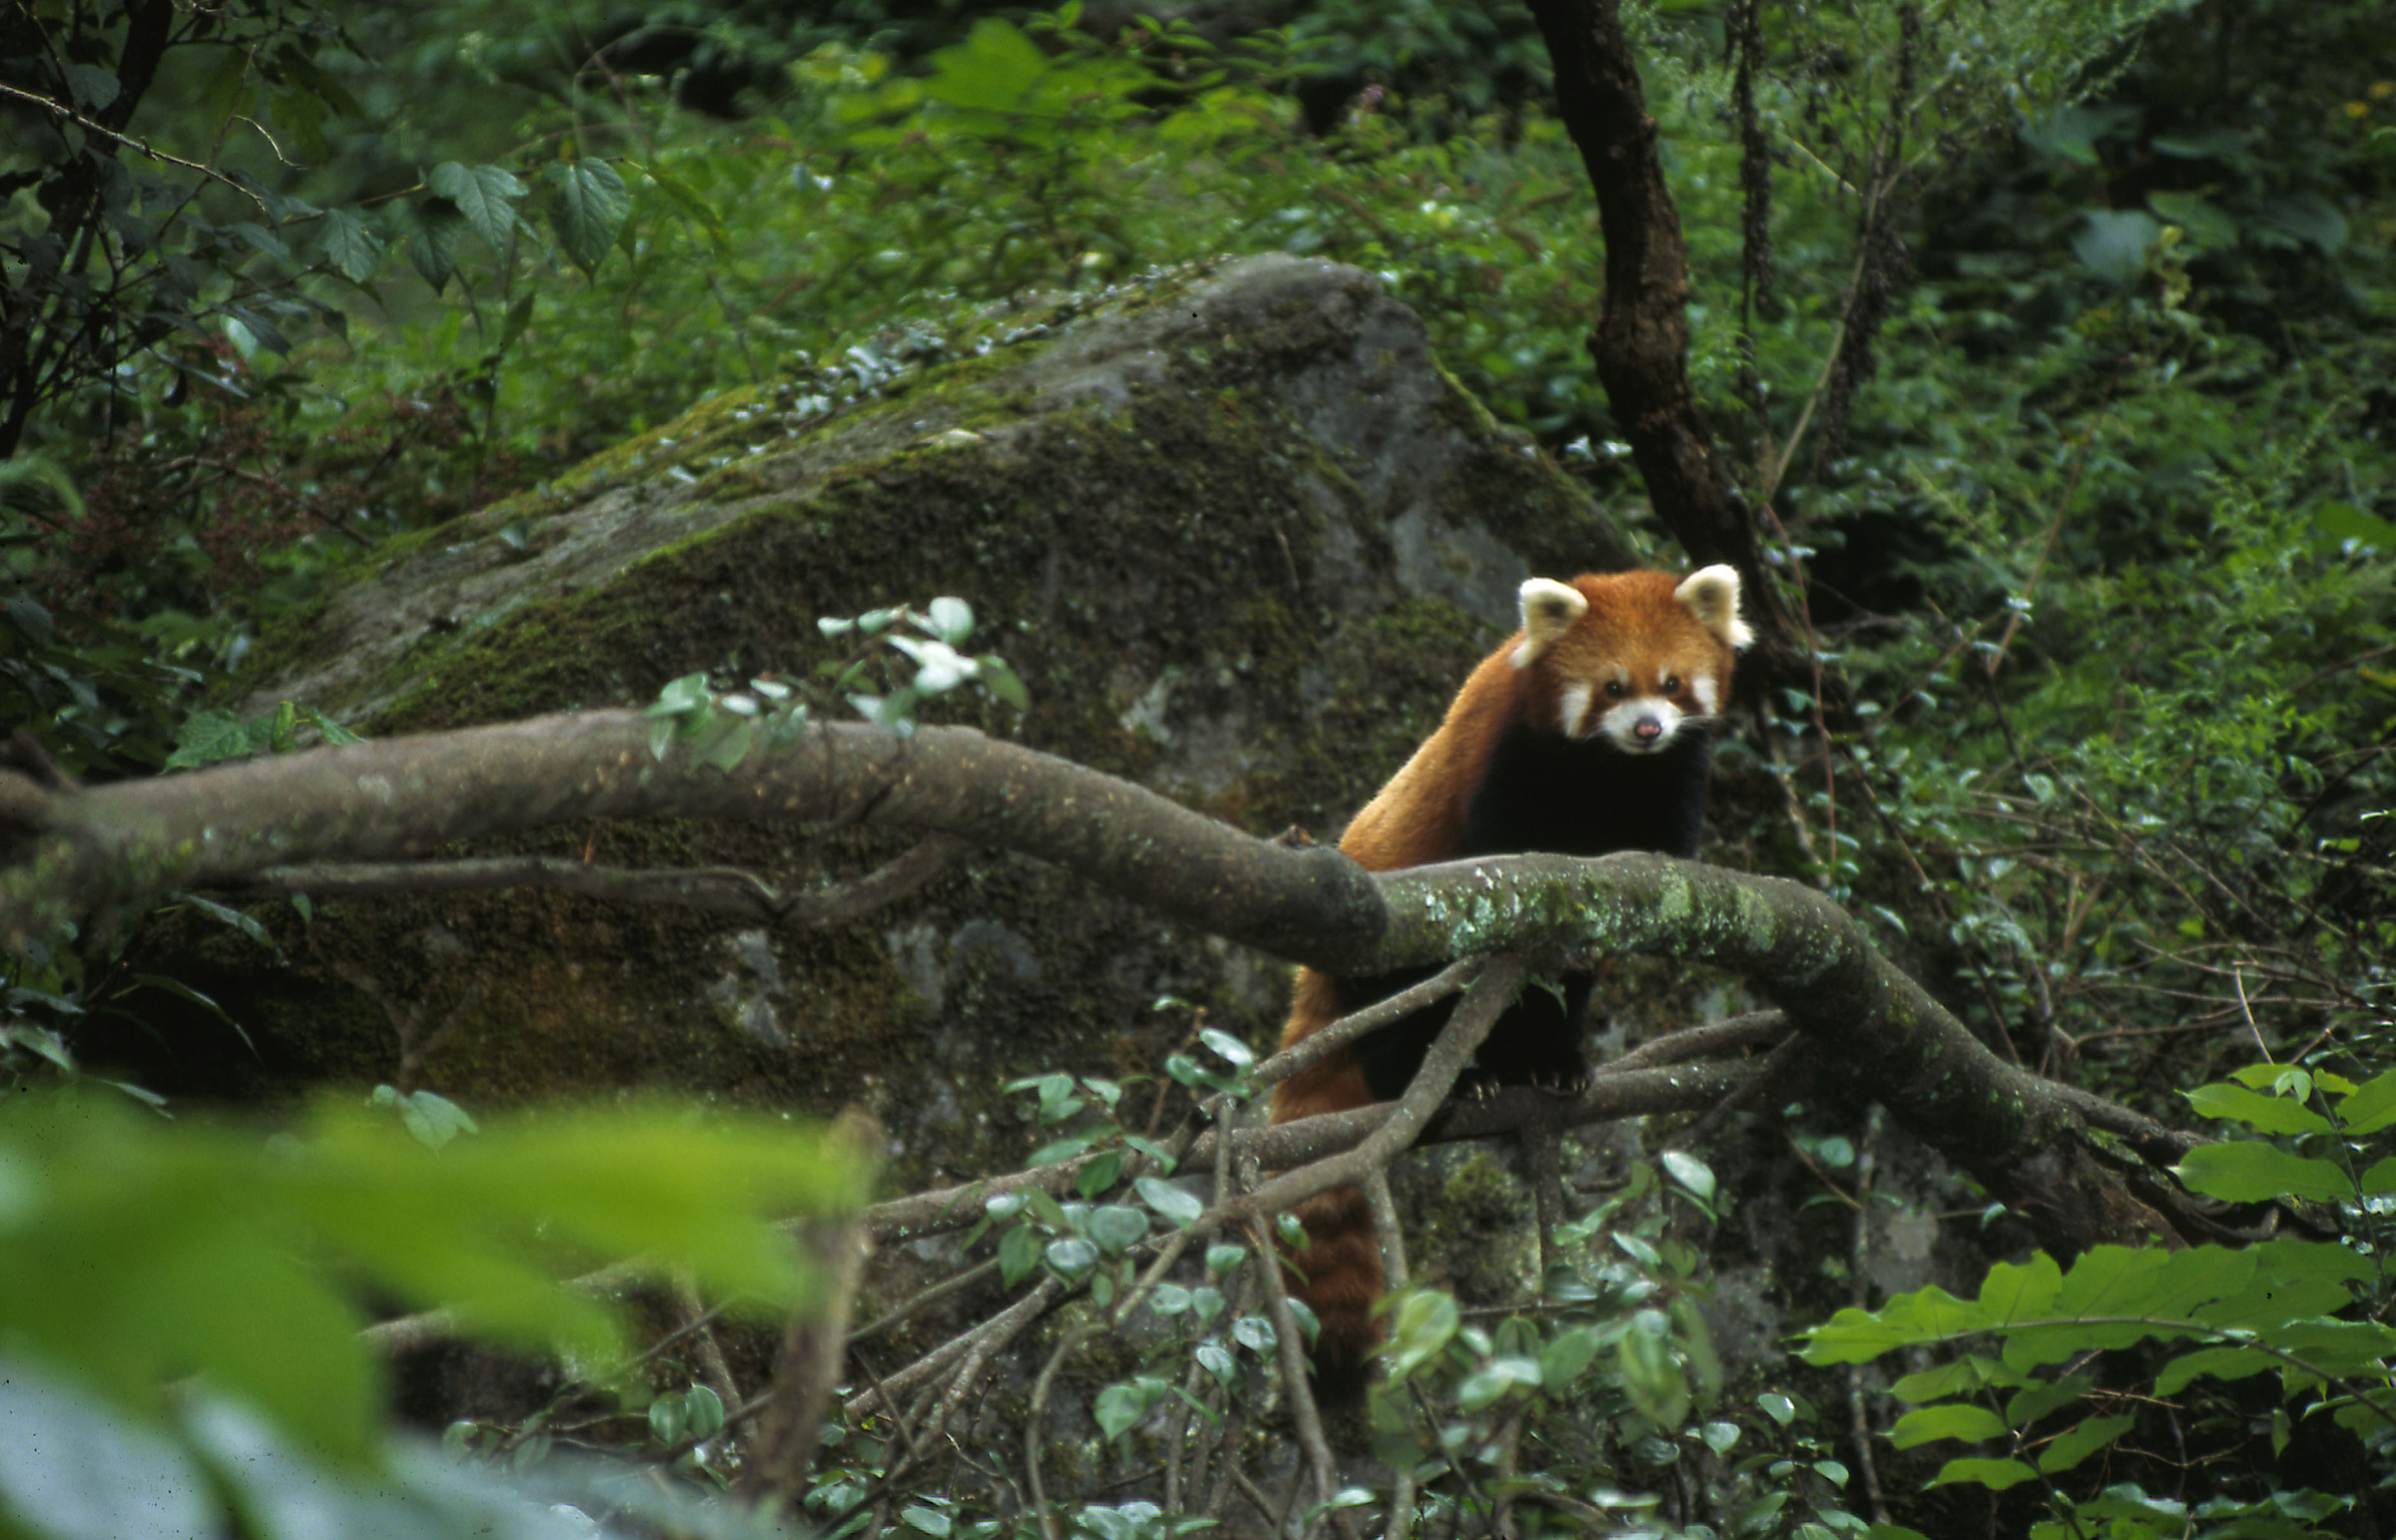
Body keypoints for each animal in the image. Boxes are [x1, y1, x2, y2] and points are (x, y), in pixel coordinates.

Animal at [1274, 565, 1744, 1398]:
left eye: (1672, 684)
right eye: (1612, 686)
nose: (1647, 729)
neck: (1612, 772)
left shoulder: (1673, 776)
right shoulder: (1513, 758)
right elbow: (1504, 855)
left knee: (1553, 1001)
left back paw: (1550, 1064)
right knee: (1402, 1023)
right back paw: (1454, 1080)